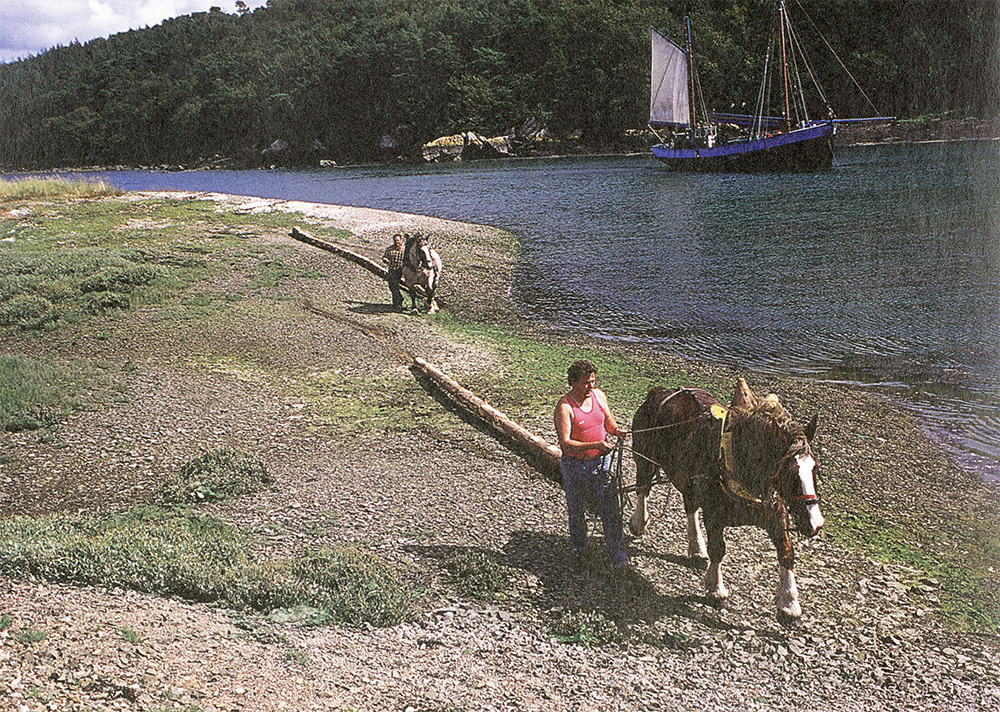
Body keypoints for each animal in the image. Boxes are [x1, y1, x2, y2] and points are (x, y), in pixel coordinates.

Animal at [628, 378, 824, 624]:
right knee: (643, 488)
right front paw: (716, 589)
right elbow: (718, 549)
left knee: (690, 506)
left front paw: (789, 604)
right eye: (789, 472)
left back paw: (696, 548)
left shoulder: (775, 514)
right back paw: (639, 521)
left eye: (814, 468)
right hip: (644, 458)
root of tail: (659, 392)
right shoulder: (714, 514)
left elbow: (786, 552)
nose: (815, 523)